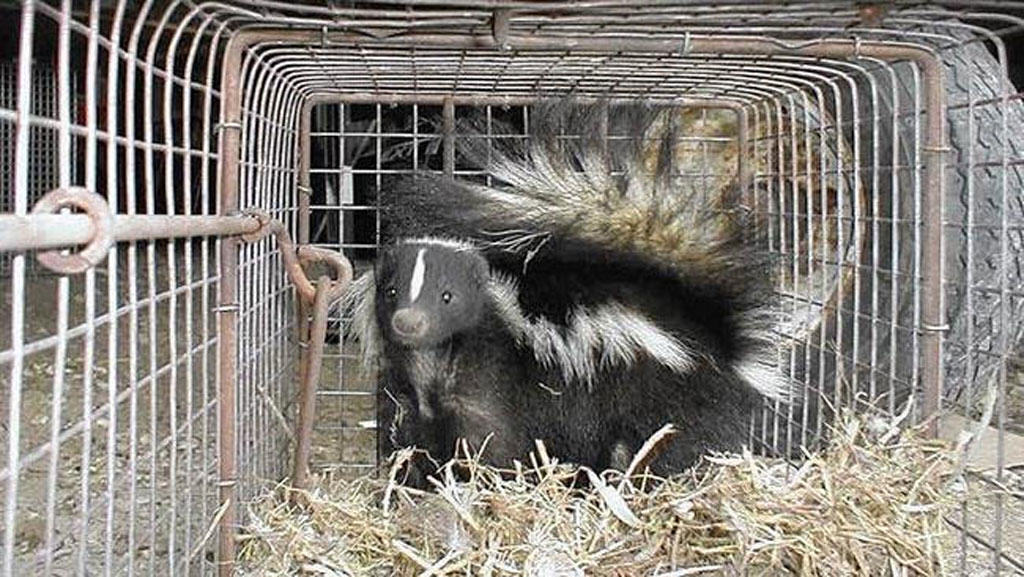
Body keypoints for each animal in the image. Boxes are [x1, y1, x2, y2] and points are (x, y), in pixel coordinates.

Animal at [339, 101, 786, 475]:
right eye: (391, 292)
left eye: (448, 297)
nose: (408, 322)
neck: (434, 362)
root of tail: (718, 339)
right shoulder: (421, 400)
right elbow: (420, 439)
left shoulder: (491, 383)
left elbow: (492, 441)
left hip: (665, 391)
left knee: (670, 442)